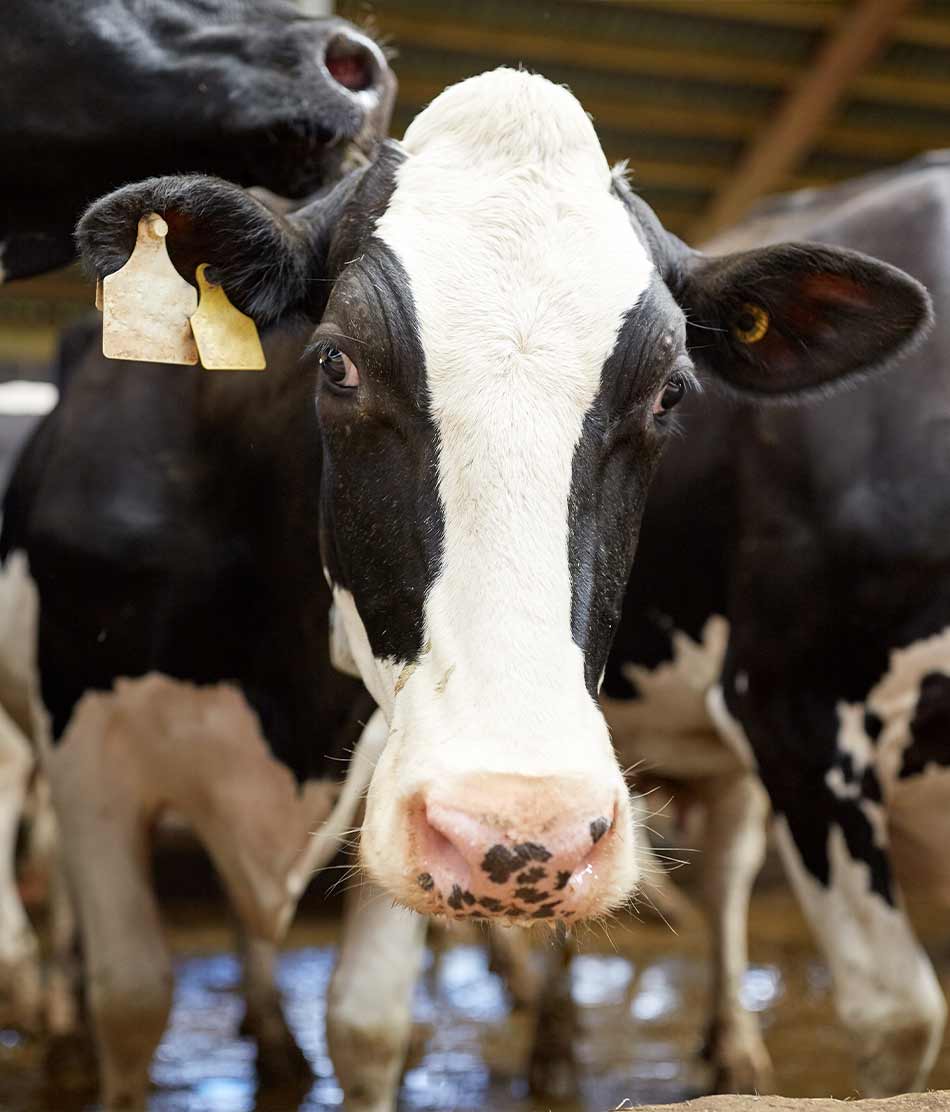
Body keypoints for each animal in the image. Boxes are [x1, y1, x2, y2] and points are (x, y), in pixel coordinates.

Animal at [3, 69, 934, 1103]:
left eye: (672, 393)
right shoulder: (87, 756)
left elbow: (366, 1025)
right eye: (336, 360)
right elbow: (130, 1001)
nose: (526, 826)